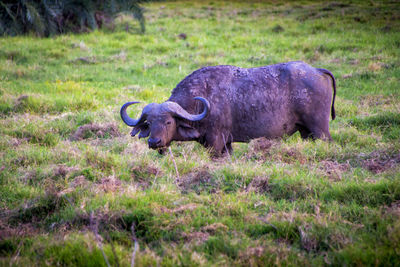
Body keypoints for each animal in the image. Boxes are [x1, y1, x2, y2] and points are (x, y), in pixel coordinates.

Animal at [120, 61, 336, 156]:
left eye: (167, 121)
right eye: (149, 123)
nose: (154, 142)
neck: (202, 101)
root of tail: (317, 70)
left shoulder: (216, 142)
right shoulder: (227, 144)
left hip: (320, 129)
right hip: (305, 132)